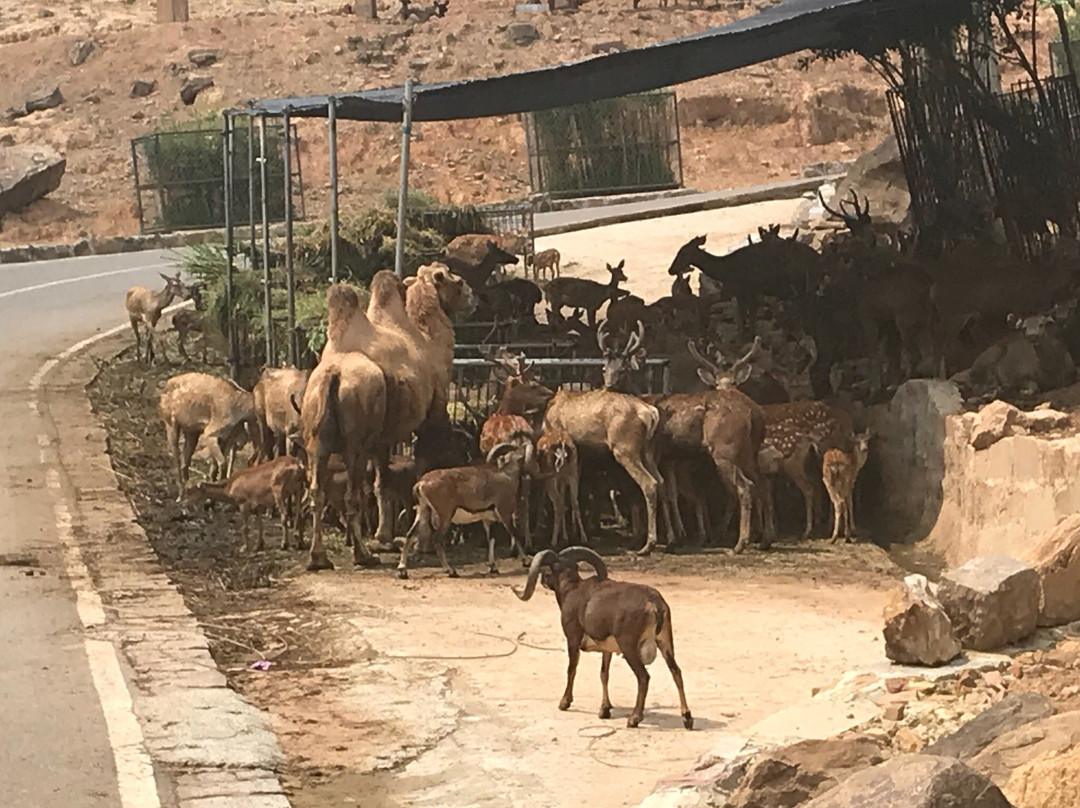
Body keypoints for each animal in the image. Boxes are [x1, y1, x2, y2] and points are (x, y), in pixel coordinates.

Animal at [397, 432, 535, 578]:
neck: (507, 477)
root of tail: (421, 484)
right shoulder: (504, 513)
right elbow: (515, 534)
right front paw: (526, 561)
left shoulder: (487, 520)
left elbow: (491, 540)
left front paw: (493, 567)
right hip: (445, 515)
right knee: (437, 540)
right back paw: (450, 570)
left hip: (423, 510)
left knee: (410, 534)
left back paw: (402, 570)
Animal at [514, 546, 691, 730]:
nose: (543, 579)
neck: (571, 590)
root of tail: (654, 604)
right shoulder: (607, 649)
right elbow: (604, 674)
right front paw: (604, 710)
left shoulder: (573, 638)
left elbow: (572, 669)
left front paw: (564, 703)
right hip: (665, 642)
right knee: (676, 672)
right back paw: (687, 718)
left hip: (629, 647)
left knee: (643, 677)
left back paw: (634, 718)